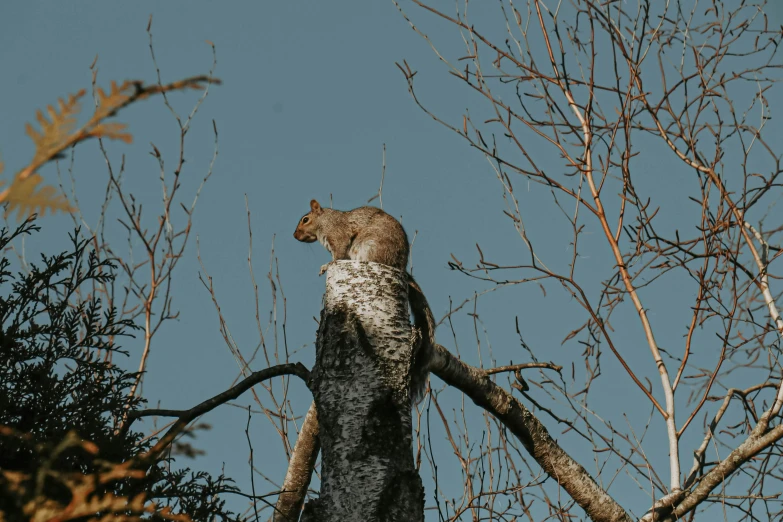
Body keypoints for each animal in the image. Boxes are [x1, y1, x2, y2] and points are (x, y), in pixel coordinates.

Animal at [294, 197, 434, 404]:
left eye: (305, 219)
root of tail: (400, 267)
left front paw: (328, 265)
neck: (326, 221)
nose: (295, 235)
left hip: (370, 246)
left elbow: (339, 254)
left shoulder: (338, 236)